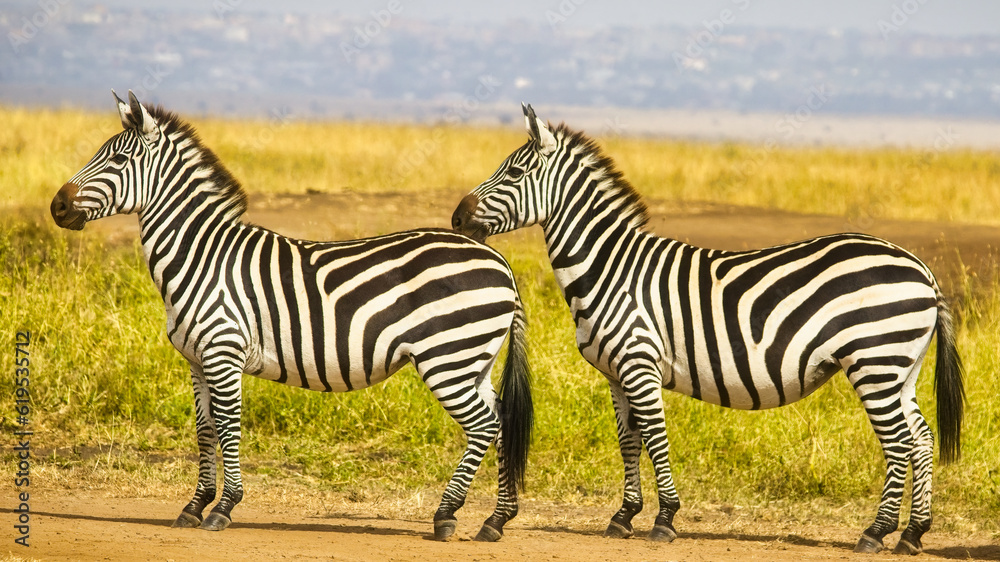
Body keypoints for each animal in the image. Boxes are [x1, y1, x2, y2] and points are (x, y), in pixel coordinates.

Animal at [50, 91, 533, 542]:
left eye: (118, 159)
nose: (57, 207)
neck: (202, 256)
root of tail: (499, 260)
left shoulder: (223, 352)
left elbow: (228, 426)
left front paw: (224, 507)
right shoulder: (196, 359)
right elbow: (205, 429)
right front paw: (194, 505)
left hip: (447, 357)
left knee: (484, 424)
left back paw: (446, 514)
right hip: (474, 359)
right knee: (502, 420)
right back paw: (495, 519)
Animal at [451, 103, 965, 554]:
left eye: (515, 173)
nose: (456, 217)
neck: (610, 268)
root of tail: (922, 267)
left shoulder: (639, 362)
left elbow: (655, 436)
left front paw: (665, 519)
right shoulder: (616, 372)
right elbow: (629, 440)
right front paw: (624, 516)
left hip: (874, 362)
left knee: (899, 442)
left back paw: (876, 533)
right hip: (901, 368)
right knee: (921, 439)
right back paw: (913, 533)